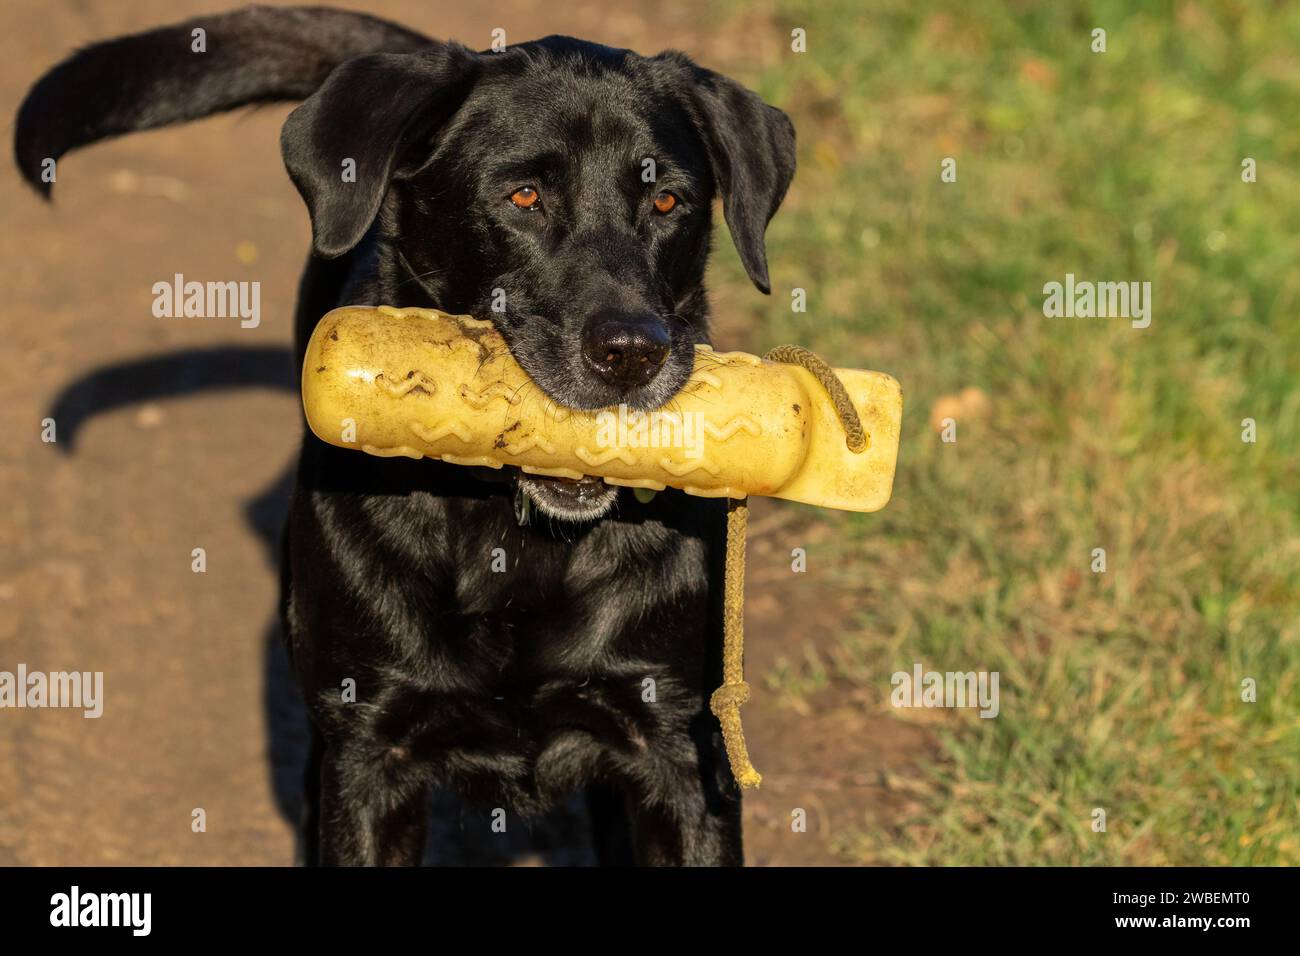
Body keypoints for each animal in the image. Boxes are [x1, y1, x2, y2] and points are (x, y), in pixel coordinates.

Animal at [17, 3, 790, 868]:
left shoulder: (676, 748)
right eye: (523, 196)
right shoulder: (369, 754)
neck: (511, 536)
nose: (633, 351)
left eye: (667, 204)